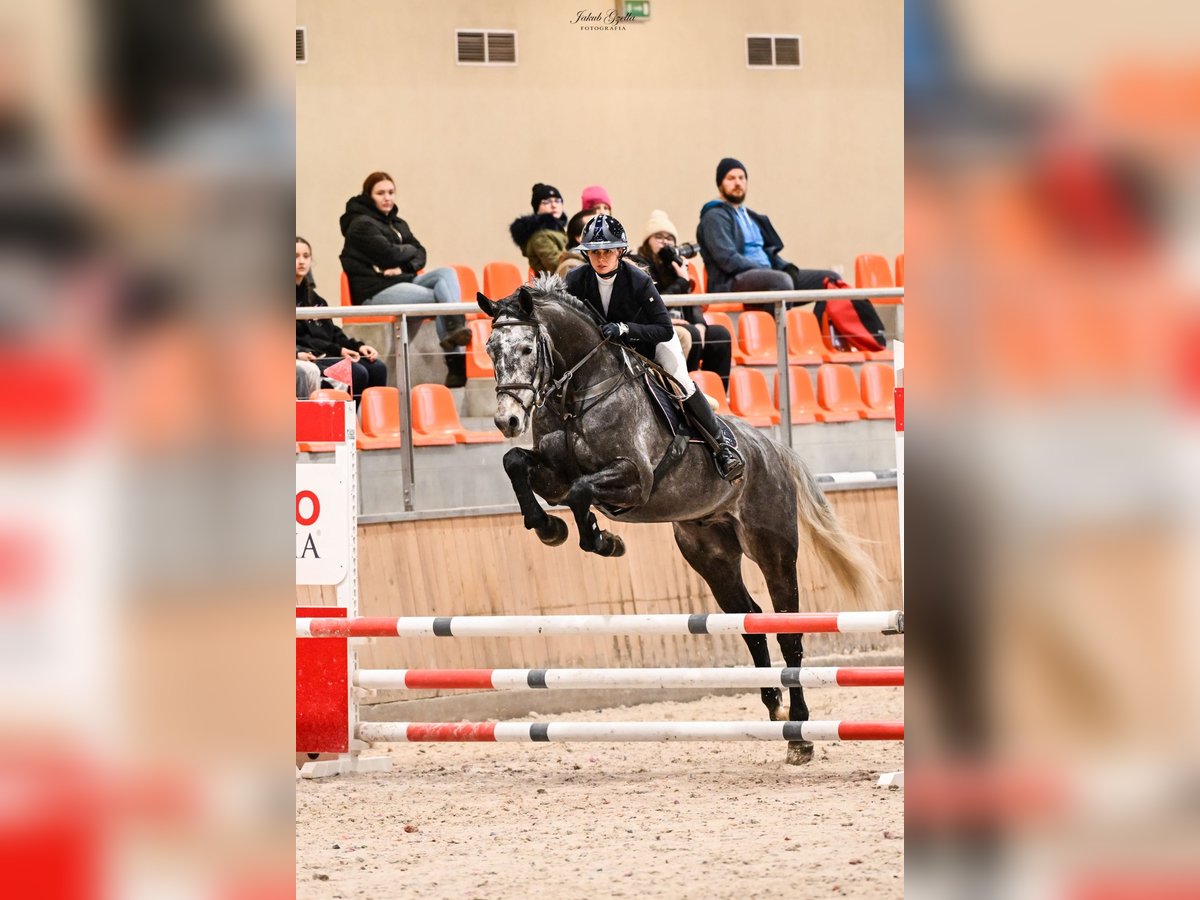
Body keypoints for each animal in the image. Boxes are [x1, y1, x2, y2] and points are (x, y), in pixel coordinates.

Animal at [477, 274, 881, 764]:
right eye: (490, 349)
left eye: (526, 348)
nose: (508, 420)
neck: (581, 395)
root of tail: (772, 449)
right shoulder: (553, 474)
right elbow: (517, 463)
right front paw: (551, 529)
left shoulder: (635, 479)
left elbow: (581, 491)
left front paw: (601, 539)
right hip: (711, 555)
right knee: (750, 622)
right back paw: (775, 709)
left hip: (774, 548)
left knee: (788, 630)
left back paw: (801, 734)